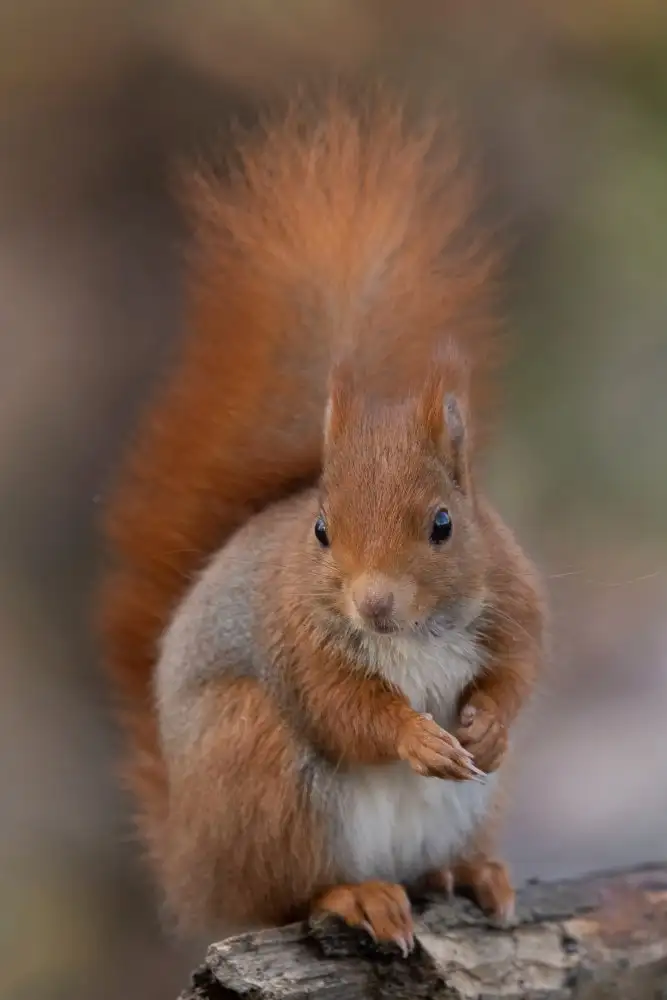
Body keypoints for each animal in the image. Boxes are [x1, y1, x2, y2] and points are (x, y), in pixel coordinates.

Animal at [99, 92, 545, 951]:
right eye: (321, 531)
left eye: (444, 524)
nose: (373, 605)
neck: (415, 635)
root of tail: (192, 868)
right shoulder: (297, 647)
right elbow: (347, 713)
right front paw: (416, 736)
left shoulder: (513, 596)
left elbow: (519, 670)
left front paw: (488, 726)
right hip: (259, 767)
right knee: (285, 894)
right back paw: (356, 896)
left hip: (470, 804)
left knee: (430, 862)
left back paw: (467, 871)